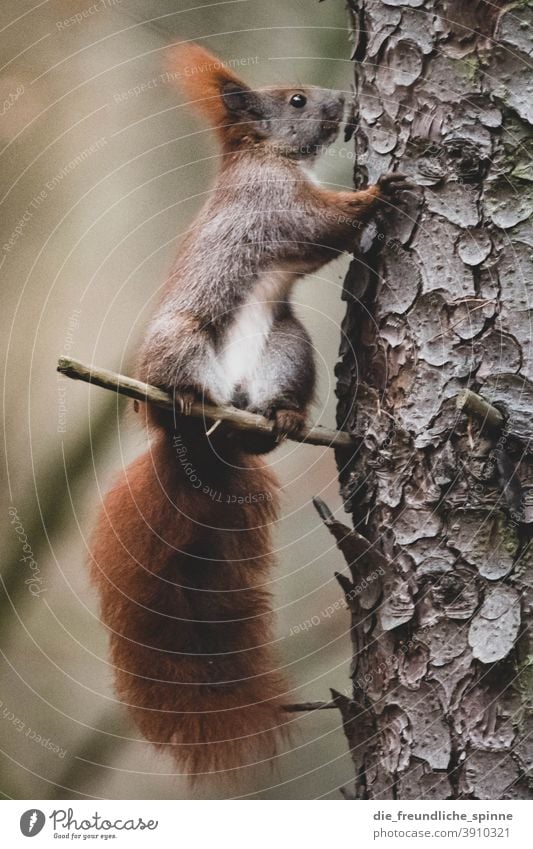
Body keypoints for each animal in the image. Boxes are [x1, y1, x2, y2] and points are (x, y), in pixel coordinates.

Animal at [89, 43, 410, 780]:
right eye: (294, 100)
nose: (342, 101)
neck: (268, 157)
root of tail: (207, 441)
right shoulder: (272, 206)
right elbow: (321, 223)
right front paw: (378, 193)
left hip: (287, 348)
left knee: (271, 415)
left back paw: (284, 421)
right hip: (181, 340)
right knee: (178, 394)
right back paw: (185, 400)